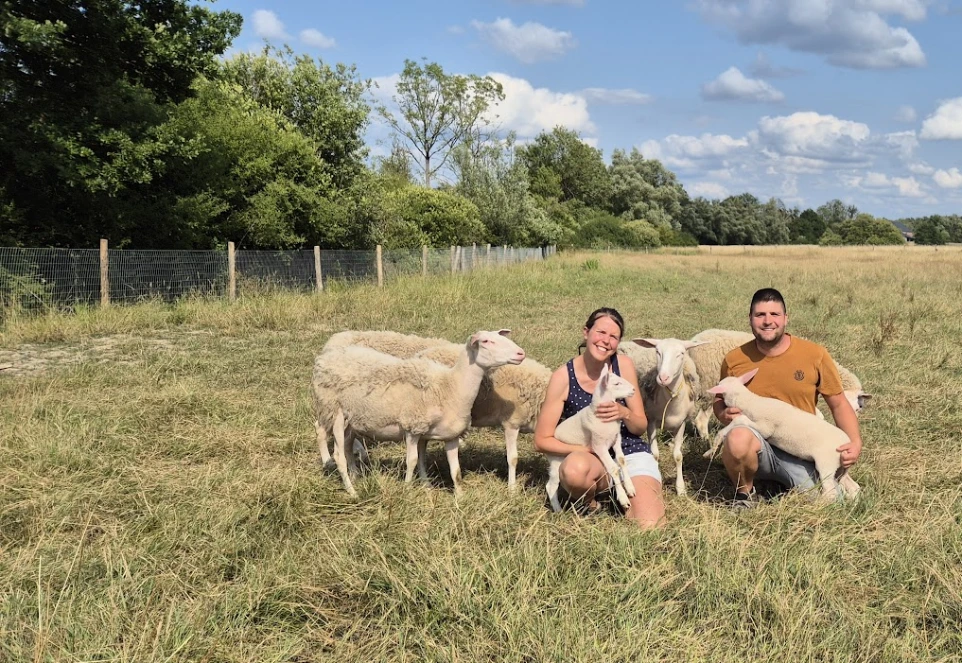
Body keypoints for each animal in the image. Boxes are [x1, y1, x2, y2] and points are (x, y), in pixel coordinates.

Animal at [311, 330, 525, 497]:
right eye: (486, 342)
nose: (521, 353)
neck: (450, 387)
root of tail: (324, 358)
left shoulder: (444, 435)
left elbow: (451, 469)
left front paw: (456, 496)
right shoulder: (412, 427)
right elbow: (412, 460)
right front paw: (407, 489)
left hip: (352, 420)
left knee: (347, 448)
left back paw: (356, 476)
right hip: (333, 412)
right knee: (335, 450)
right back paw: (351, 490)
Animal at [544, 363, 637, 513]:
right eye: (616, 383)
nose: (634, 389)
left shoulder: (616, 439)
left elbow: (622, 461)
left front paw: (630, 488)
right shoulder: (599, 444)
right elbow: (613, 468)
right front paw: (623, 499)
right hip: (556, 460)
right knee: (551, 485)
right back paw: (558, 511)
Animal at [632, 338, 706, 496]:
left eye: (681, 353)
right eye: (657, 352)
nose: (663, 378)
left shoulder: (681, 423)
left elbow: (678, 456)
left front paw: (681, 488)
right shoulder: (651, 421)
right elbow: (655, 454)